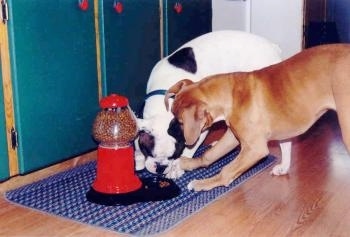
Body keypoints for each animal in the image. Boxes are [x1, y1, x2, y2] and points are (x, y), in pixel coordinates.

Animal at [164, 44, 350, 191]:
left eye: (180, 122)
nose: (171, 131)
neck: (230, 93)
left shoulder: (254, 148)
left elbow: (227, 171)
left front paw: (203, 183)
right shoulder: (233, 136)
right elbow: (210, 154)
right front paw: (185, 163)